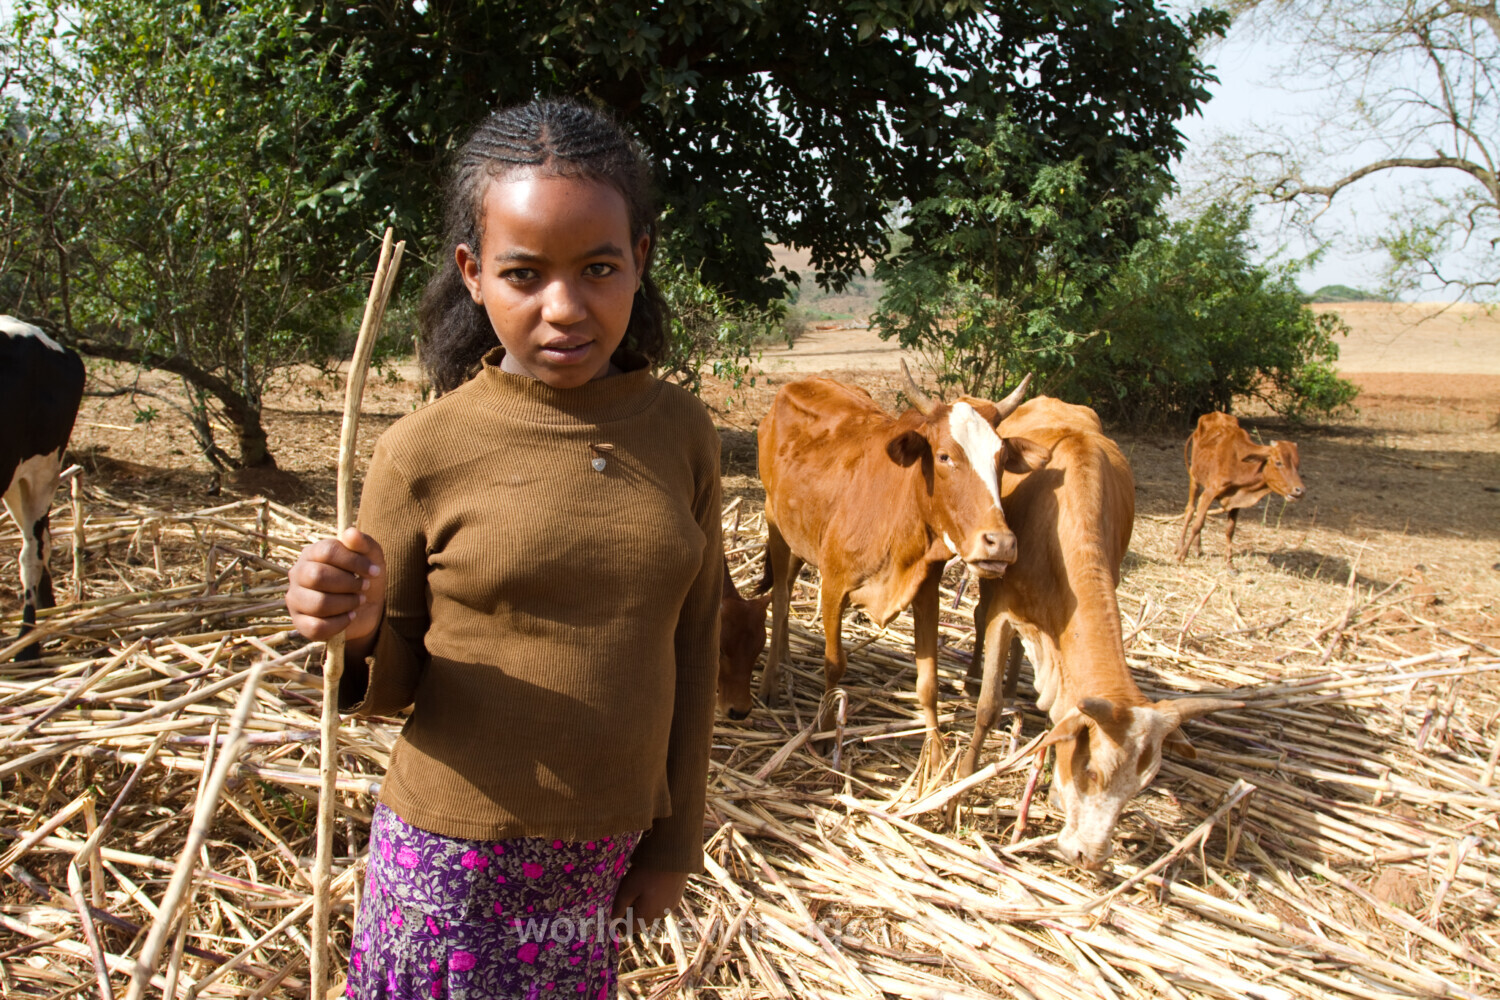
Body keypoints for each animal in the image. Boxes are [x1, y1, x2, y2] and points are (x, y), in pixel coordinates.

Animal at [756, 363, 1049, 781]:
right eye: (944, 456)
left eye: (1002, 459)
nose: (1001, 543)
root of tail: (800, 384)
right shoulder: (834, 586)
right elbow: (834, 665)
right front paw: (826, 734)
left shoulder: (926, 591)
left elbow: (928, 682)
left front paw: (936, 755)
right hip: (773, 519)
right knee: (780, 597)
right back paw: (770, 682)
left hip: (800, 534)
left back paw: (785, 658)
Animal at [958, 397, 1241, 869]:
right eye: (1092, 771)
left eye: (1141, 785)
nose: (1089, 856)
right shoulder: (1002, 610)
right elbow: (987, 707)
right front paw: (959, 779)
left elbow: (1062, 716)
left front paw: (1054, 787)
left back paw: (1016, 684)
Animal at [1178, 411, 1305, 566]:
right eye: (1278, 462)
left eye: (1297, 465)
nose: (1300, 490)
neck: (1240, 465)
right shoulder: (1209, 493)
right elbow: (1197, 525)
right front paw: (1182, 555)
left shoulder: (1236, 500)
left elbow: (1230, 530)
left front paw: (1229, 561)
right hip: (1195, 478)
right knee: (1190, 511)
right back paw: (1179, 547)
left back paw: (1197, 548)